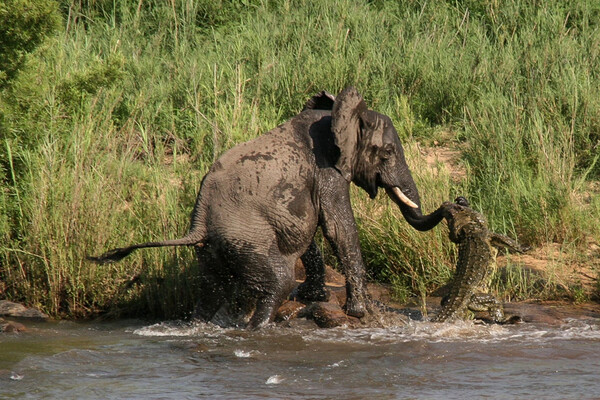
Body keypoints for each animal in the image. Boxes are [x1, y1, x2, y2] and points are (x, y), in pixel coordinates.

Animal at [90, 86, 450, 328]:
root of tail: (198, 223)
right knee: (278, 281)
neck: (336, 116)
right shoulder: (327, 171)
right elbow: (336, 226)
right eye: (387, 153)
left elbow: (311, 231)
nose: (453, 202)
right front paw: (357, 312)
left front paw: (315, 299)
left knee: (211, 293)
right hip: (247, 238)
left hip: (214, 251)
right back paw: (257, 329)